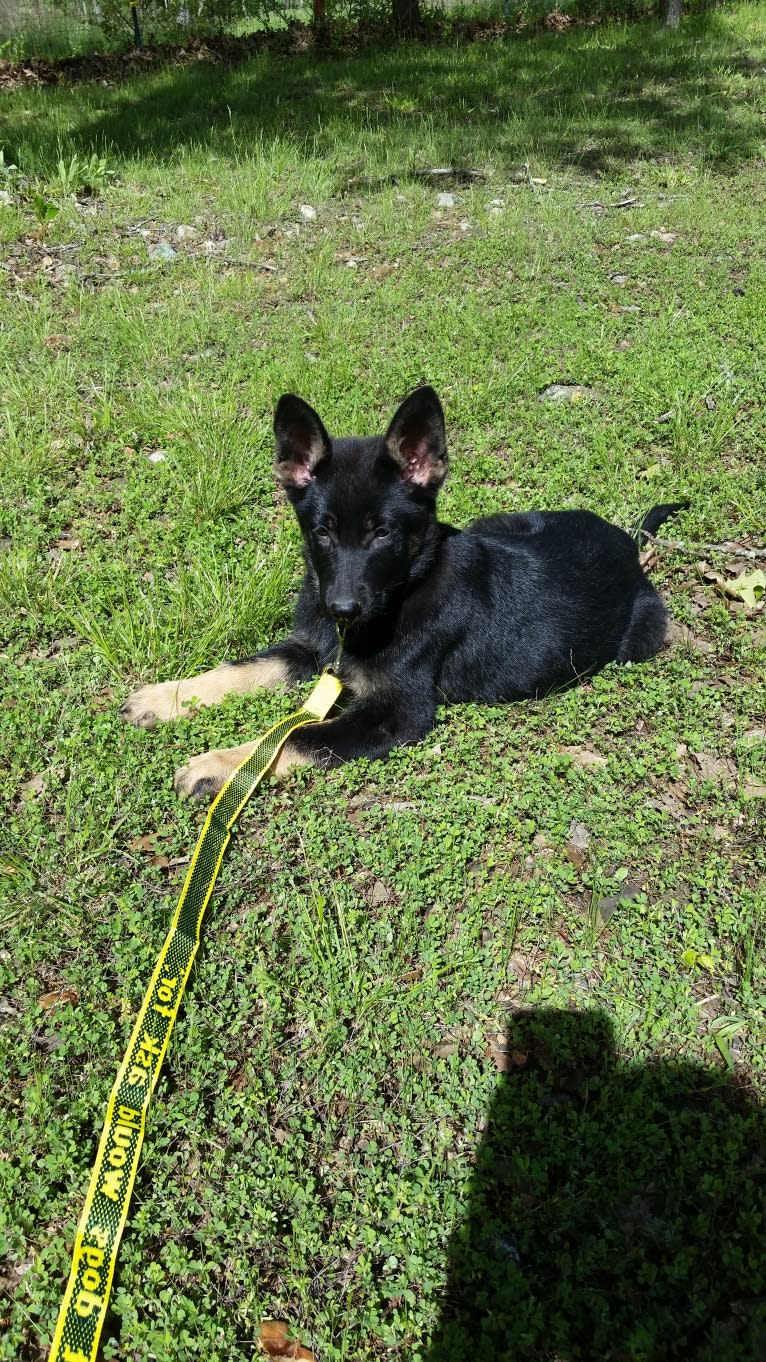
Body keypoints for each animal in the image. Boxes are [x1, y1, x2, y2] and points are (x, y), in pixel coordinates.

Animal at [120, 384, 686, 795]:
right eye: (322, 532)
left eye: (382, 534)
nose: (341, 609)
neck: (403, 592)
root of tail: (627, 541)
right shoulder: (311, 648)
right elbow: (239, 669)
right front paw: (163, 697)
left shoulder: (396, 714)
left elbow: (296, 735)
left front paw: (220, 764)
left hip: (641, 639)